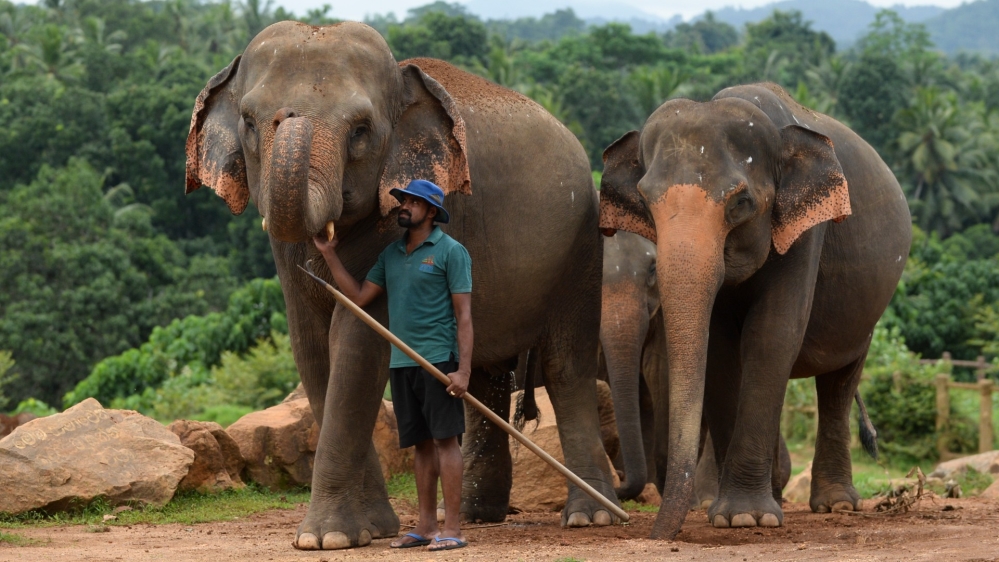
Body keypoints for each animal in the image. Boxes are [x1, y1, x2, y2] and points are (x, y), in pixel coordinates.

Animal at [185, 21, 616, 550]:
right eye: (248, 122)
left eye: (361, 130)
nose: (321, 241)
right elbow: (312, 349)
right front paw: (370, 530)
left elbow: (357, 341)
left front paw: (326, 538)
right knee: (483, 379)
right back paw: (472, 516)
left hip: (581, 251)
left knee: (565, 367)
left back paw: (591, 517)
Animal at [598, 82, 910, 539]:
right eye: (644, 200)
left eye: (741, 202)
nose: (656, 536)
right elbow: (723, 350)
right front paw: (730, 515)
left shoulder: (806, 235)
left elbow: (772, 335)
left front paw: (746, 517)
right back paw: (779, 495)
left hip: (867, 312)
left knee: (839, 383)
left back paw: (836, 505)